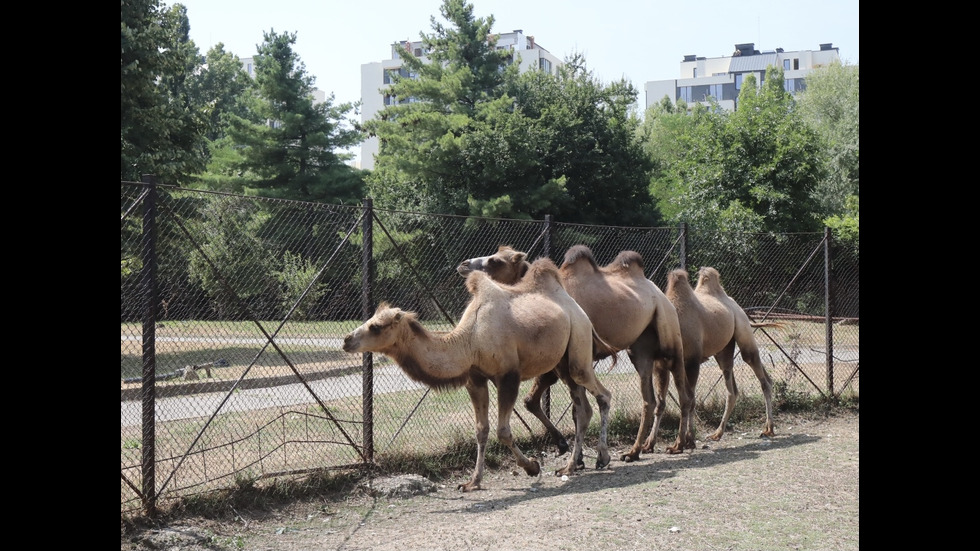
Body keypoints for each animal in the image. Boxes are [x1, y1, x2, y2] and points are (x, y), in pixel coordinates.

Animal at [344, 258, 616, 492]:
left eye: (376, 326)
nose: (347, 340)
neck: (470, 340)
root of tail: (576, 308)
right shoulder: (475, 379)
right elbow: (481, 430)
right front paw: (472, 482)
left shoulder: (508, 375)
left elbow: (502, 431)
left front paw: (531, 467)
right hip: (562, 362)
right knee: (582, 409)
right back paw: (570, 466)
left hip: (579, 343)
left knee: (602, 394)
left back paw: (601, 458)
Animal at [456, 246, 692, 462]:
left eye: (495, 261)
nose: (464, 265)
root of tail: (658, 291)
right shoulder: (557, 364)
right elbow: (532, 401)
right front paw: (564, 447)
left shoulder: (564, 361)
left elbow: (571, 409)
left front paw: (576, 458)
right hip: (640, 348)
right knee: (650, 399)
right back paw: (635, 451)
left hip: (669, 333)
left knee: (682, 390)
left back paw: (679, 444)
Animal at [668, 266, 780, 442]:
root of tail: (736, 304)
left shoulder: (691, 360)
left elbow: (690, 399)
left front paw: (688, 437)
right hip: (724, 350)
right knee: (733, 387)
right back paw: (717, 433)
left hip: (743, 330)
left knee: (758, 372)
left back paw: (768, 429)